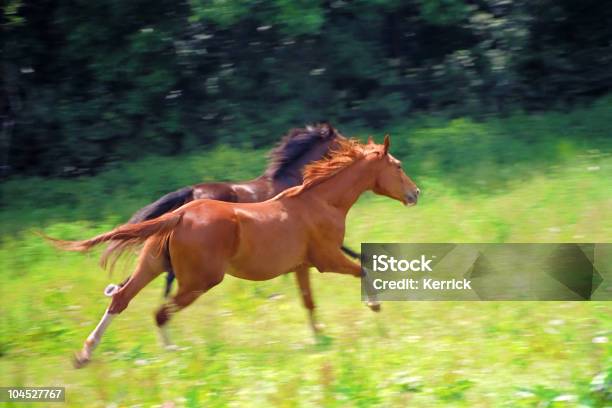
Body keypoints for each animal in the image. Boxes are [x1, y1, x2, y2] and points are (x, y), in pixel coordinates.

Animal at [107, 122, 358, 298]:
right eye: (342, 141)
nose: (356, 149)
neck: (291, 178)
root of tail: (191, 192)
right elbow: (342, 248)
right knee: (170, 280)